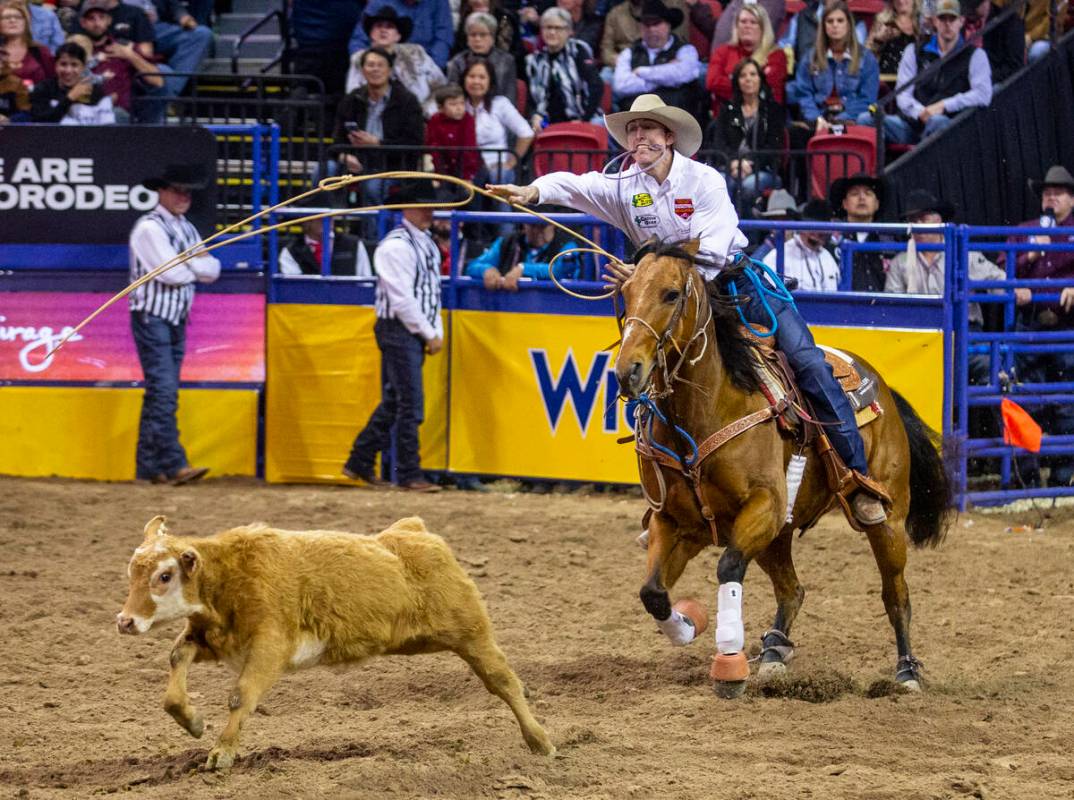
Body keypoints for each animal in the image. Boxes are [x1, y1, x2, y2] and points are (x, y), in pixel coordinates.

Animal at [117, 511, 554, 768]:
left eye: (164, 575)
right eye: (131, 572)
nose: (125, 621)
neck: (229, 578)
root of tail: (412, 532)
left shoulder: (270, 648)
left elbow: (242, 695)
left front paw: (222, 752)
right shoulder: (212, 638)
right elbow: (176, 663)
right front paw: (192, 721)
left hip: (471, 631)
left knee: (503, 681)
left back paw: (540, 742)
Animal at [614, 240, 958, 695]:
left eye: (671, 294)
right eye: (626, 292)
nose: (627, 372)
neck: (709, 407)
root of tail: (882, 385)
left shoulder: (764, 506)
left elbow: (728, 567)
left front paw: (729, 665)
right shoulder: (675, 521)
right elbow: (652, 592)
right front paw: (688, 624)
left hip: (888, 521)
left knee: (895, 595)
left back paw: (906, 673)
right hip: (777, 536)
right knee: (792, 590)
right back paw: (775, 651)